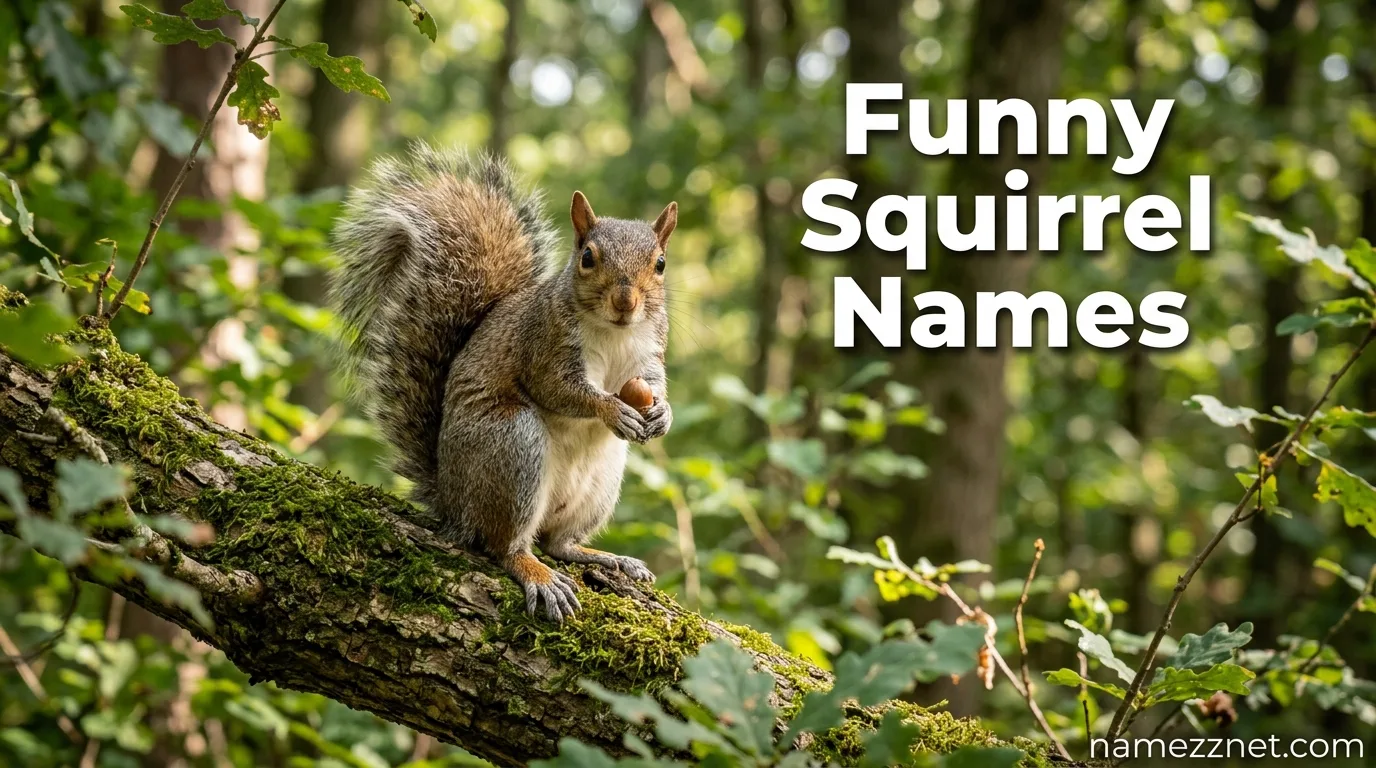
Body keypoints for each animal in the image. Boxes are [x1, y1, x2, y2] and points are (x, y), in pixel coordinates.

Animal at [330, 143, 677, 622]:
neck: (615, 331)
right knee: (504, 545)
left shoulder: (648, 352)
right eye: (587, 257)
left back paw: (607, 559)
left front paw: (662, 414)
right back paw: (538, 574)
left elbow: (655, 383)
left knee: (559, 543)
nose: (626, 302)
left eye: (660, 264)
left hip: (601, 480)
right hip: (512, 443)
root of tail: (453, 502)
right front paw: (609, 408)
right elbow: (559, 389)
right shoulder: (543, 345)